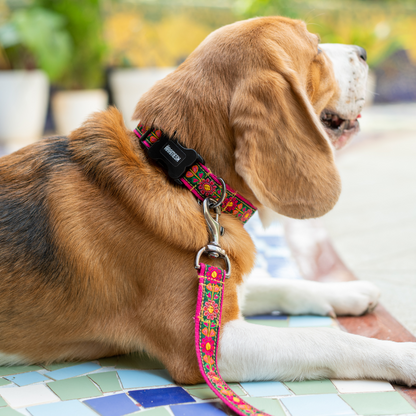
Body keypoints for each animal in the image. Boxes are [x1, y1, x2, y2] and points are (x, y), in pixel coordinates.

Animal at [0, 16, 416, 386]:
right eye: (315, 49)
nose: (363, 52)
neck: (185, 178)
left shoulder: (219, 277)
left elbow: (282, 284)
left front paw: (345, 291)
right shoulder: (202, 345)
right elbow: (322, 338)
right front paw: (402, 354)